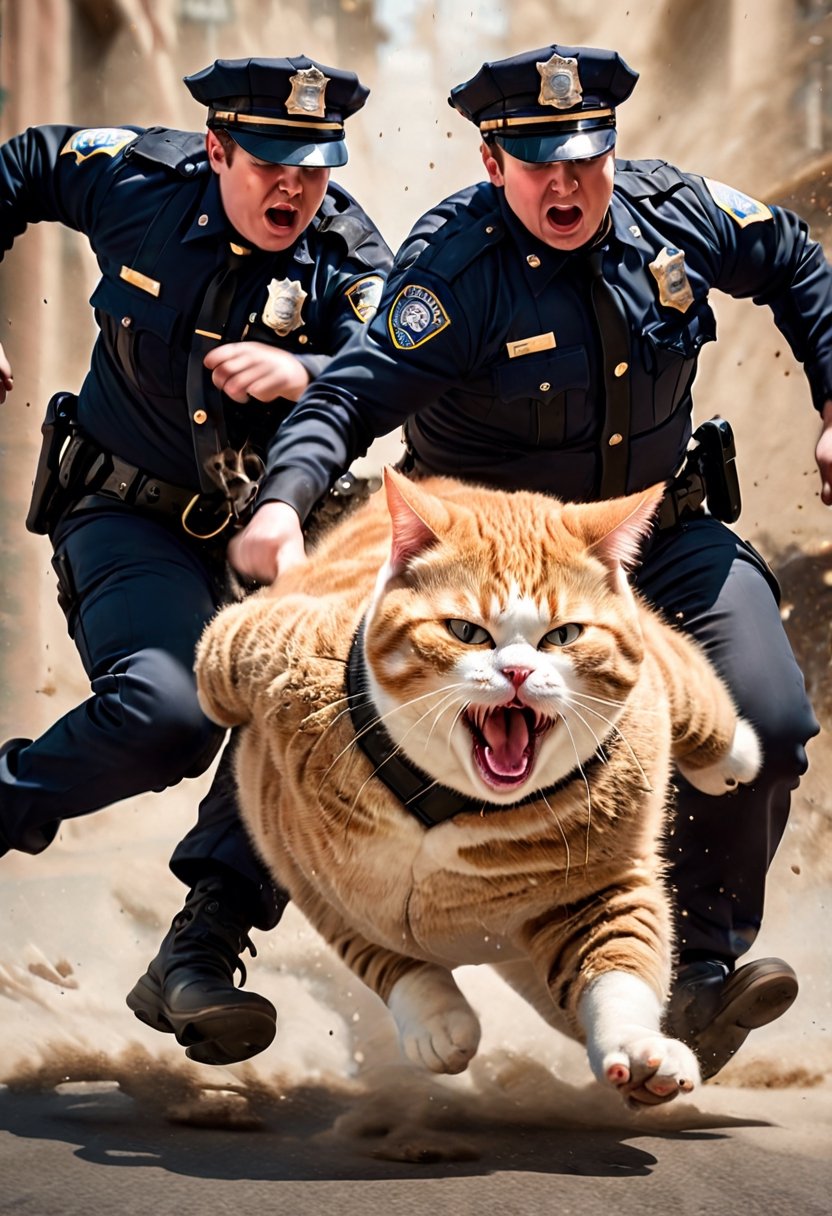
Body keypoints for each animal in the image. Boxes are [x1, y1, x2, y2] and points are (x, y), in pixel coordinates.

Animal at [194, 469, 759, 1108]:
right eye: (467, 631)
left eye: (563, 635)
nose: (516, 672)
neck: (444, 805)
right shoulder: (313, 878)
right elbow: (387, 958)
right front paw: (437, 1021)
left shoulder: (603, 889)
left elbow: (620, 966)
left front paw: (641, 1050)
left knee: (683, 675)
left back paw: (733, 753)